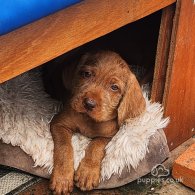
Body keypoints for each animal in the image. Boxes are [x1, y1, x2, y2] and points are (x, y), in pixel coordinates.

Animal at [49, 50, 145, 193]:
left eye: (114, 87)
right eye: (87, 74)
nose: (89, 103)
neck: (88, 120)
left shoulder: (109, 135)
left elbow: (96, 146)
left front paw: (87, 172)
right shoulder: (58, 123)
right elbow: (64, 147)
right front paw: (62, 177)